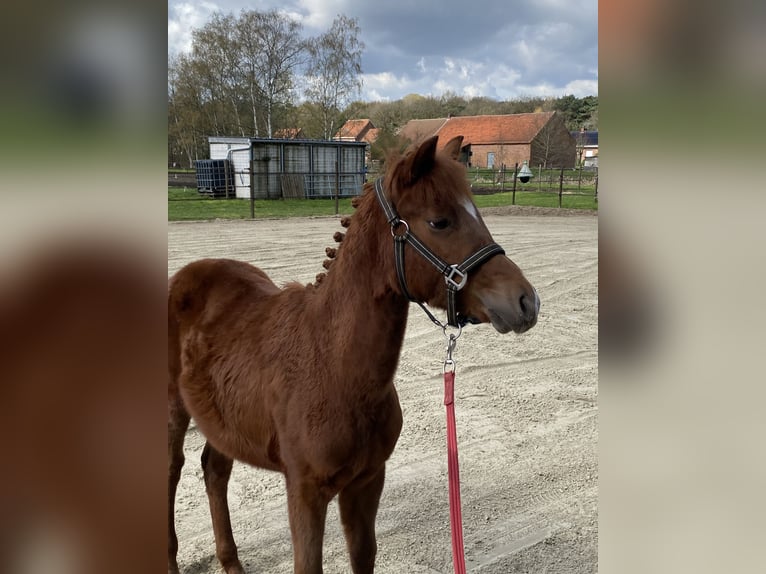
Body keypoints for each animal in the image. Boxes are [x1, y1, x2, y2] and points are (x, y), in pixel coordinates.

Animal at [168, 135, 540, 574]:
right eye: (439, 221)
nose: (525, 301)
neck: (333, 366)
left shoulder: (367, 480)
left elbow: (363, 553)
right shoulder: (305, 490)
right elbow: (308, 564)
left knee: (215, 470)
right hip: (173, 413)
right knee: (172, 473)